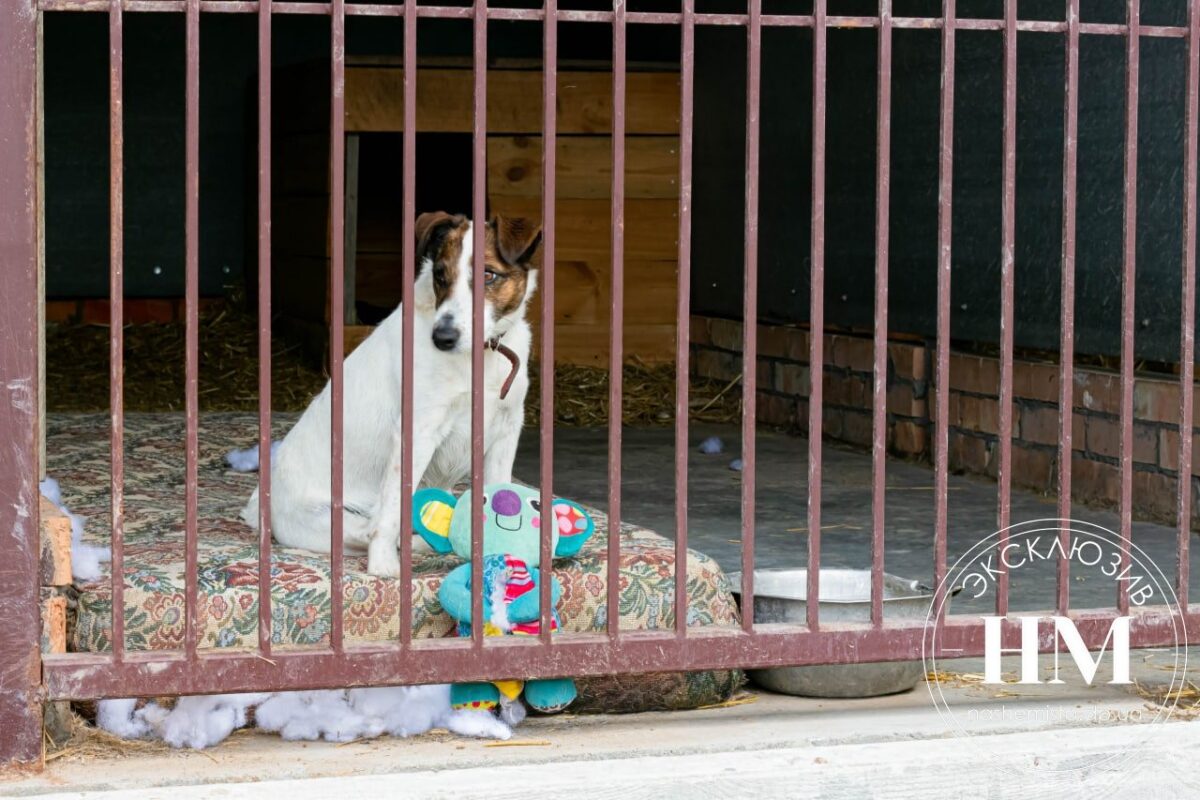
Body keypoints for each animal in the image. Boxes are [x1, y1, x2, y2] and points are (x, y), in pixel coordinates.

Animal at [241, 211, 542, 575]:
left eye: (488, 274)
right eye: (440, 276)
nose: (442, 338)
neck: (480, 357)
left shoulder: (506, 429)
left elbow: (500, 489)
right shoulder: (418, 430)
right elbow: (390, 512)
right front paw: (384, 567)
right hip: (333, 520)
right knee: (373, 527)